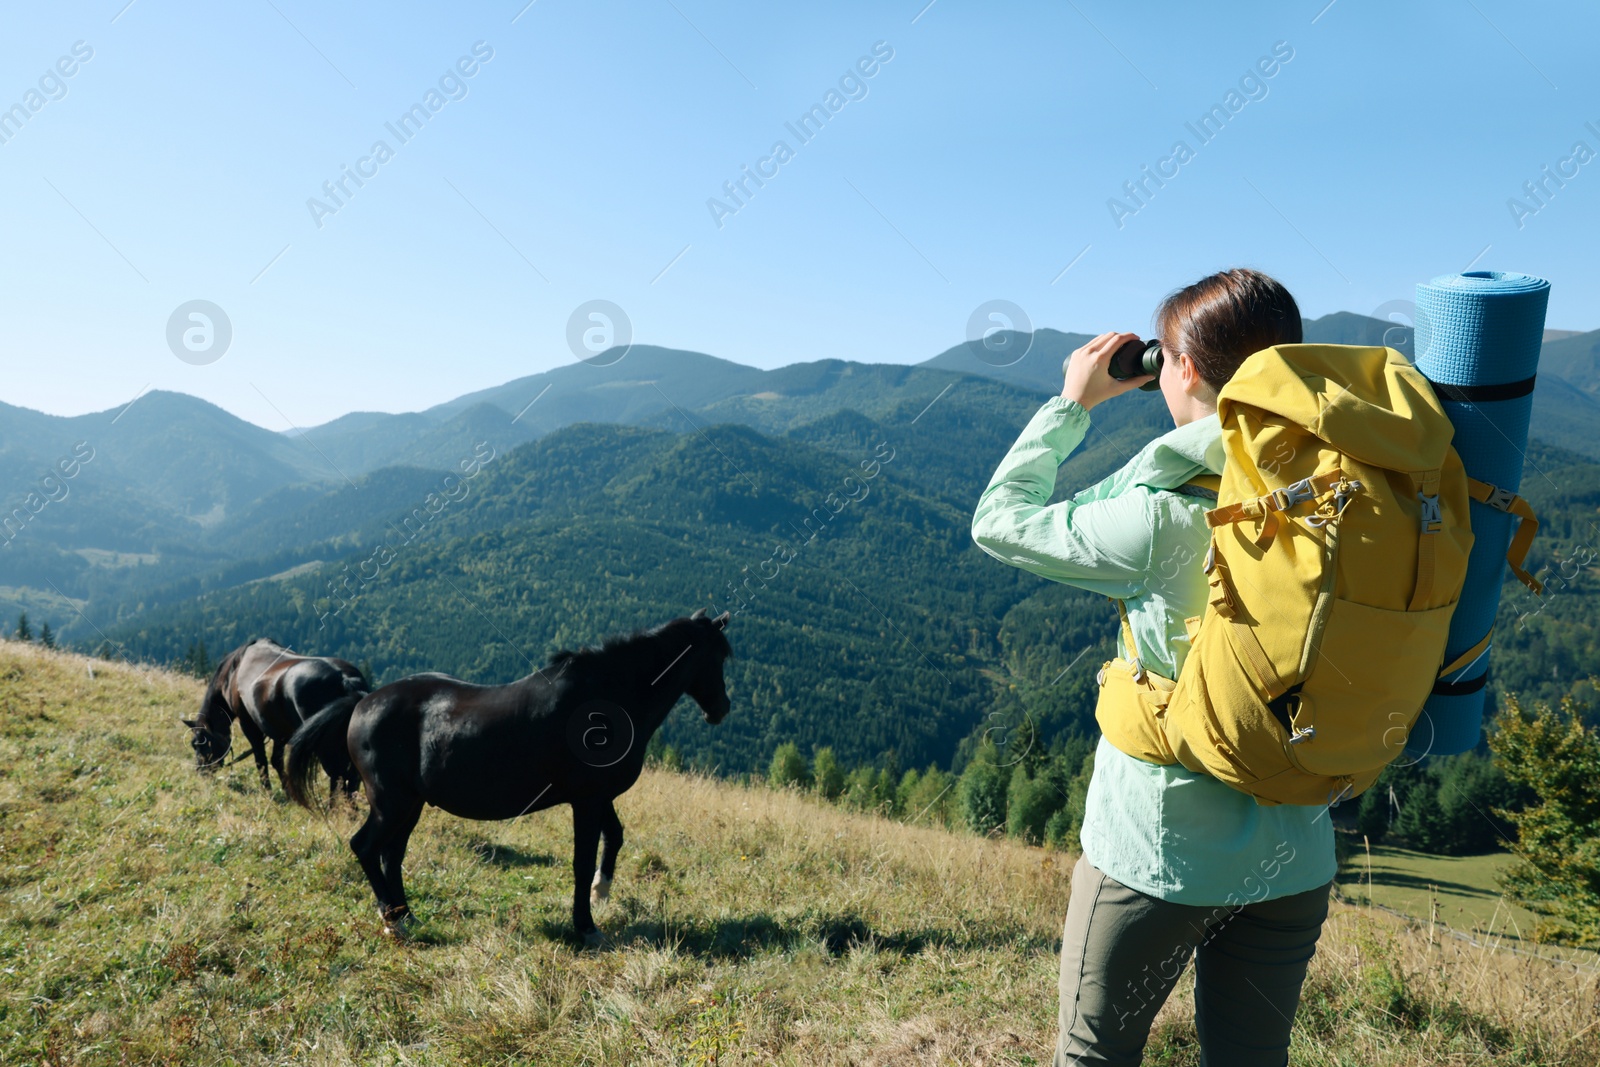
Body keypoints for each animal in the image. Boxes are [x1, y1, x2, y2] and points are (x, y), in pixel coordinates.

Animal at [184, 633, 366, 799]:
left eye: (198, 743)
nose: (201, 771)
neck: (233, 671)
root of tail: (345, 680)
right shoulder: (281, 732)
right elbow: (276, 760)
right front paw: (289, 793)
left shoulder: (248, 724)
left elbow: (261, 760)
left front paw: (268, 792)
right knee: (352, 774)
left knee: (338, 773)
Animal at [284, 607, 732, 940]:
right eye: (722, 655)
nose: (722, 709)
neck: (606, 700)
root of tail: (361, 702)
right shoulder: (587, 800)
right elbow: (582, 859)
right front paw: (585, 927)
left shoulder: (596, 796)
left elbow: (615, 837)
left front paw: (601, 890)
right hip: (390, 802)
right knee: (364, 846)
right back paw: (393, 921)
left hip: (411, 804)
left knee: (391, 855)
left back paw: (405, 914)